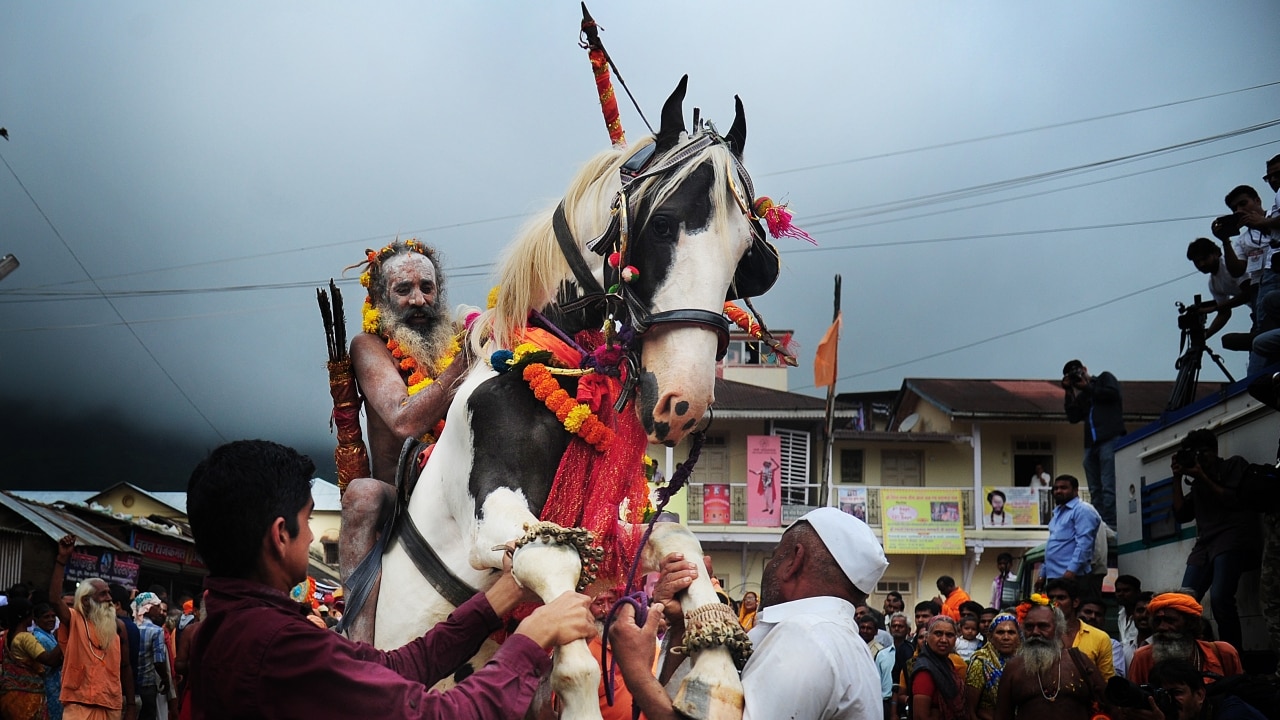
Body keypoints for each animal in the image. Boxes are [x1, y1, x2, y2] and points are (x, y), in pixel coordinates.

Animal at [327, 77, 808, 717]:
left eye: (747, 256)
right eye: (662, 225)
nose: (682, 401)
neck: (560, 375)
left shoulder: (610, 524)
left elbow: (674, 535)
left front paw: (712, 673)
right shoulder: (491, 514)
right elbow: (553, 565)